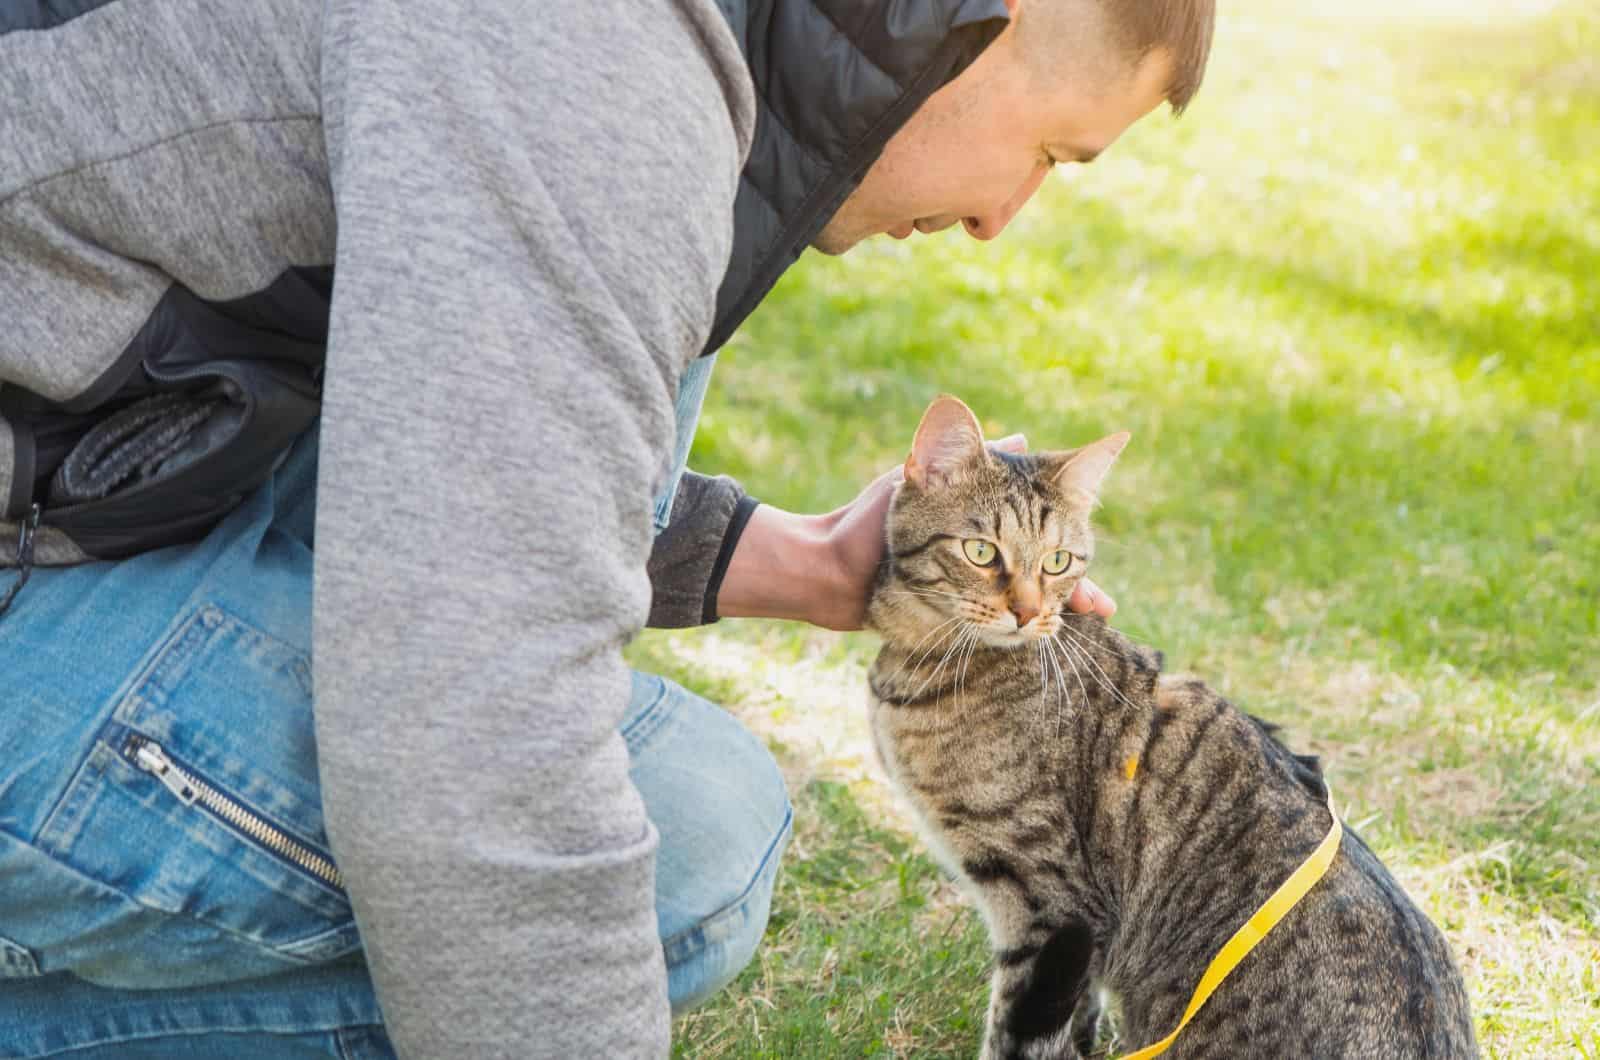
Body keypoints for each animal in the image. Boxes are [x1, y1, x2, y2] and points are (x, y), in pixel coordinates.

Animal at [864, 398, 1472, 1060]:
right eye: (980, 551)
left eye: (1057, 562)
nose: (1027, 612)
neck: (923, 665)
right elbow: (1078, 1021)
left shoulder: (1055, 911)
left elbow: (1020, 1037)